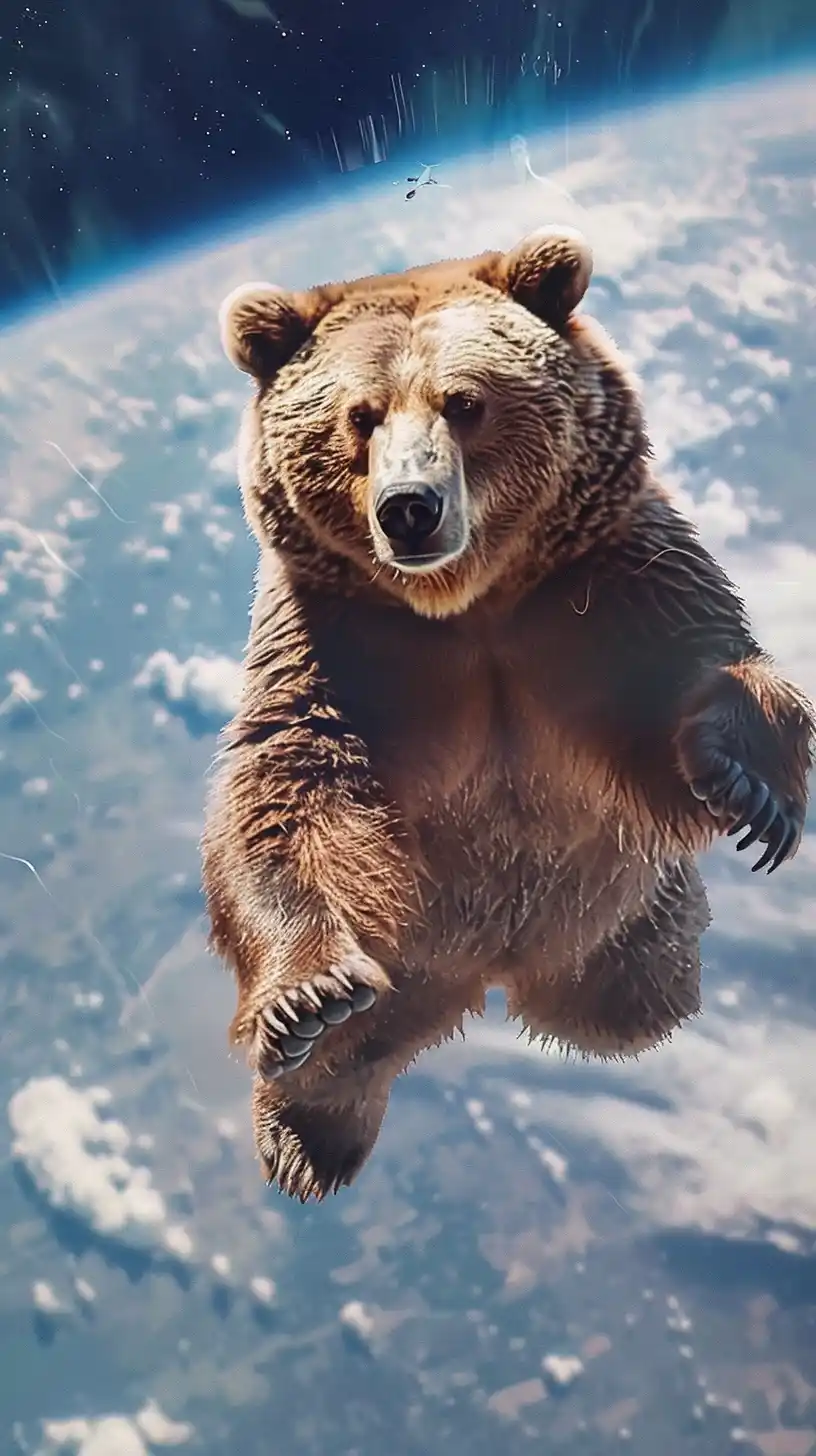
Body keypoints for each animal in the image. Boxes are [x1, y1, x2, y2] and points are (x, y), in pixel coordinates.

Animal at [202, 224, 814, 1203]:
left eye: (464, 402)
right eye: (361, 415)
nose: (409, 508)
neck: (467, 603)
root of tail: (491, 979)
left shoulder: (602, 588)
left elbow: (686, 689)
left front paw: (749, 787)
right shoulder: (342, 646)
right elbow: (288, 791)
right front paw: (307, 994)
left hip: (628, 924)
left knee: (636, 1009)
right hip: (409, 956)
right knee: (349, 1052)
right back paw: (308, 1137)